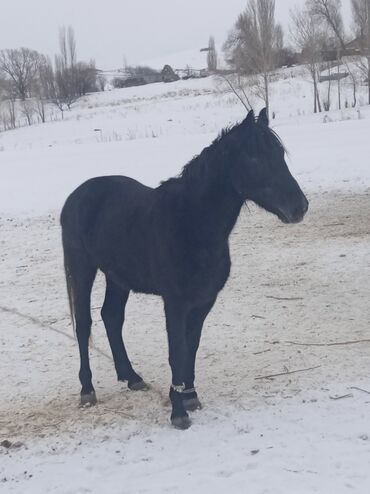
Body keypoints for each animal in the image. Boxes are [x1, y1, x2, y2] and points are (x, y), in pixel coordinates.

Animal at [61, 109, 310, 428]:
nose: (299, 207)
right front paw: (178, 412)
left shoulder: (204, 300)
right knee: (84, 324)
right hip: (82, 268)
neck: (192, 223)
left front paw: (189, 396)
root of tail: (77, 195)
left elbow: (191, 346)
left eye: (280, 154)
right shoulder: (175, 302)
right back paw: (87, 390)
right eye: (255, 158)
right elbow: (176, 351)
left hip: (118, 277)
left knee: (112, 317)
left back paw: (132, 377)